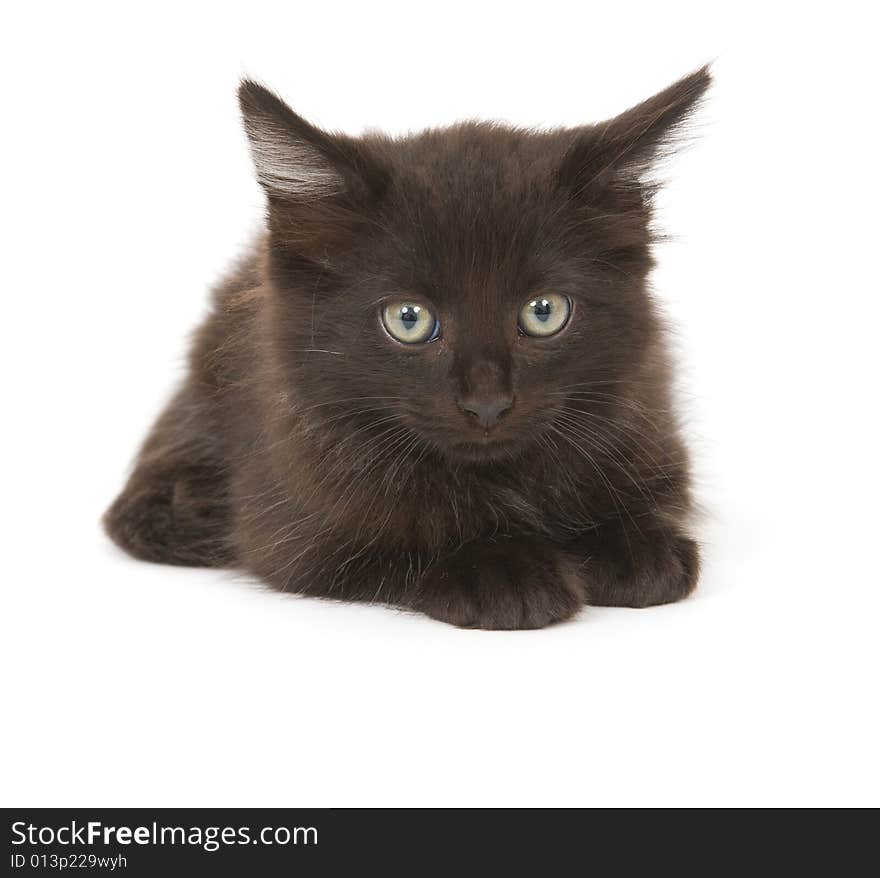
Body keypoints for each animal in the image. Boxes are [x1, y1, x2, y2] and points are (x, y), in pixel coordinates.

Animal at [105, 70, 708, 632]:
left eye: (544, 312)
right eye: (409, 319)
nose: (486, 403)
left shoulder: (647, 419)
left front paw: (633, 546)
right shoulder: (296, 526)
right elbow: (391, 545)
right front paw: (499, 569)